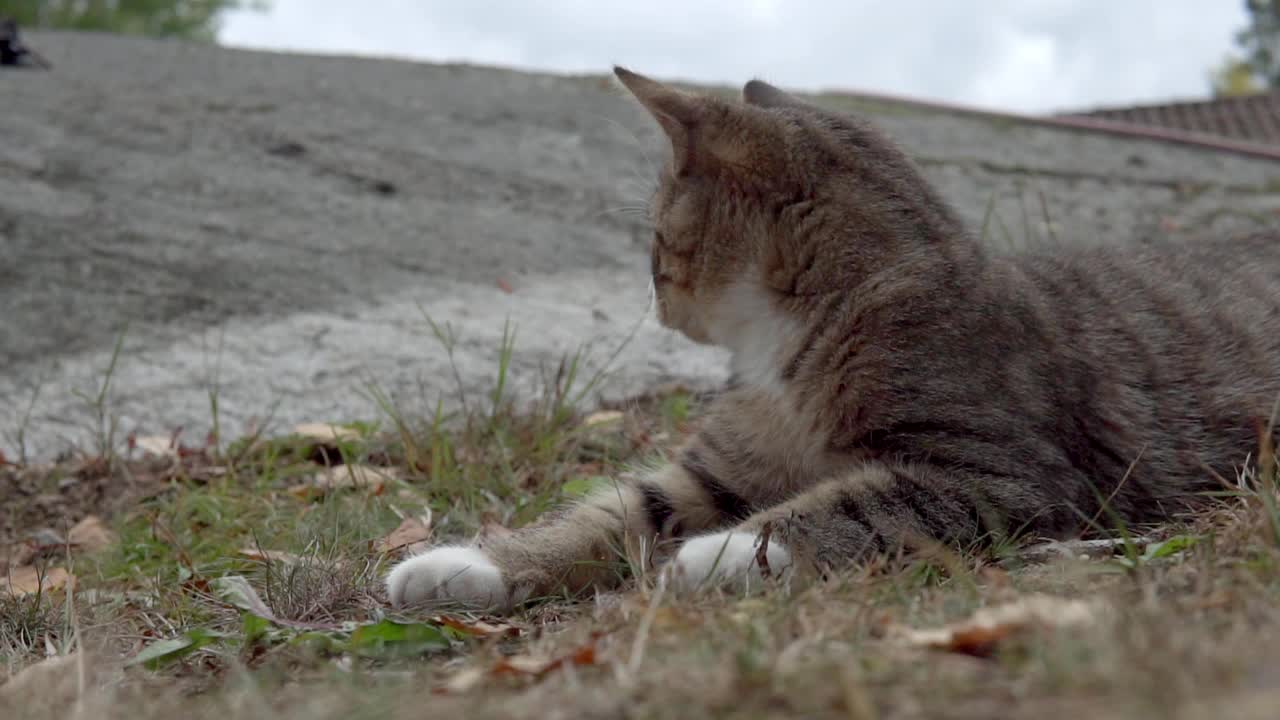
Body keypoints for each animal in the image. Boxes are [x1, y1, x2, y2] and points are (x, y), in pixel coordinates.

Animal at [384, 67, 1280, 607]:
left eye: (655, 236)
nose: (653, 295)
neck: (784, 348)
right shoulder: (713, 473)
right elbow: (607, 515)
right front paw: (469, 565)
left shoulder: (1005, 475)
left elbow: (860, 499)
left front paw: (727, 553)